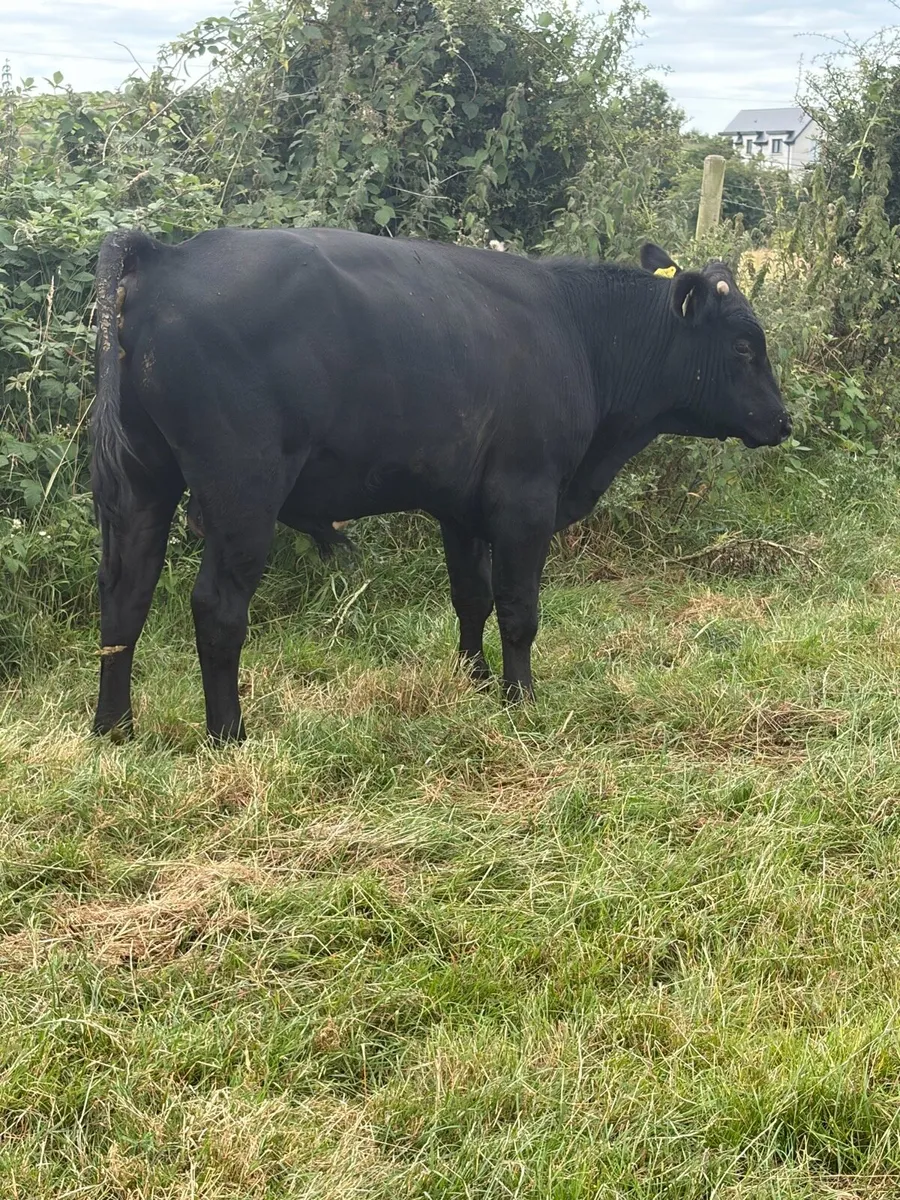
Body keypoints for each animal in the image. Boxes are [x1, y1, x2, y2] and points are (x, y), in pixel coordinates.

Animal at [91, 228, 791, 743]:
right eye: (742, 346)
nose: (783, 421)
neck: (579, 331)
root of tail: (167, 254)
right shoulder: (525, 498)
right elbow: (519, 608)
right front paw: (519, 698)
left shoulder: (462, 509)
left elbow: (471, 598)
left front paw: (474, 681)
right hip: (243, 494)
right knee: (216, 609)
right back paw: (228, 734)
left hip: (142, 485)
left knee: (125, 599)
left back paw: (114, 728)